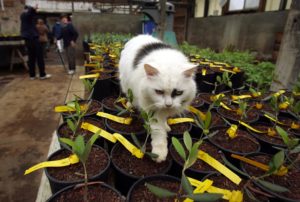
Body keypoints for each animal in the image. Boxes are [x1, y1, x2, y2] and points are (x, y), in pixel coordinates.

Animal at [118, 35, 198, 163]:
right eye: (159, 92)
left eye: (178, 93)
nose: (168, 104)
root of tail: (139, 36)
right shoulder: (152, 111)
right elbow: (158, 132)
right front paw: (159, 153)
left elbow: (164, 121)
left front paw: (166, 126)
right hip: (126, 83)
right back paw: (130, 105)